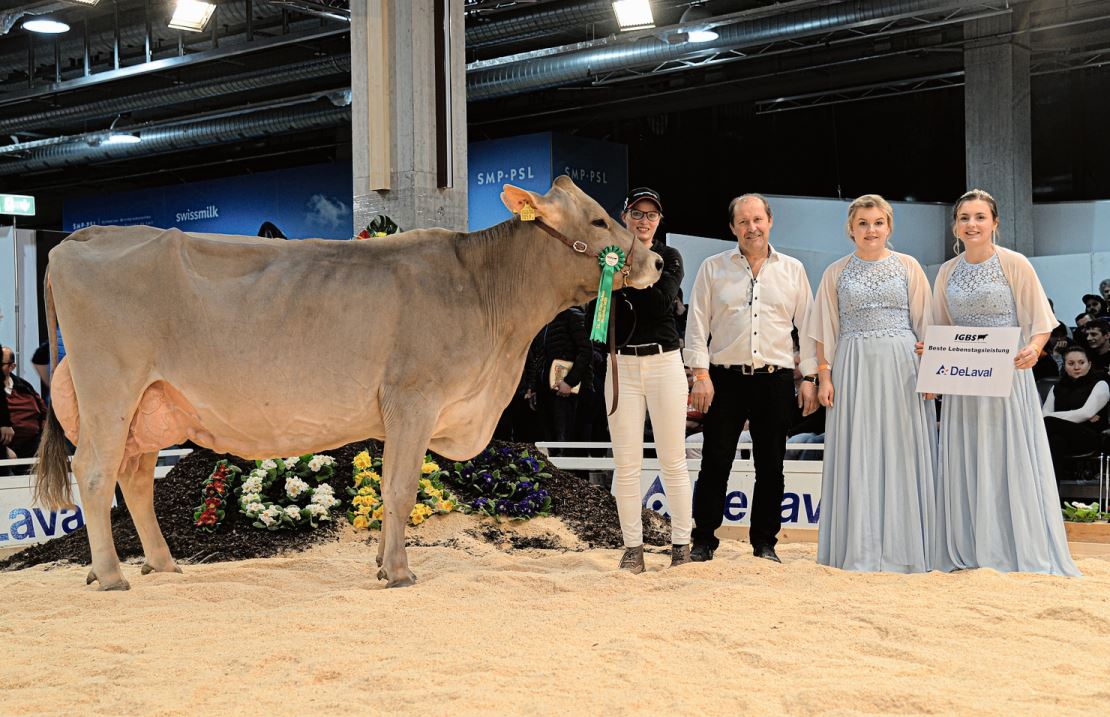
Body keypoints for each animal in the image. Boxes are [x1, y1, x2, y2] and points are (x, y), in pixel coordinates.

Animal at [34, 178, 657, 590]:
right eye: (598, 221)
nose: (652, 262)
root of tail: (82, 238)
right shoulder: (413, 399)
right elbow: (401, 490)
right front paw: (399, 573)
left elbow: (387, 490)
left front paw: (382, 565)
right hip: (110, 390)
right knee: (95, 472)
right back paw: (111, 575)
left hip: (151, 404)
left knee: (135, 479)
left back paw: (160, 564)